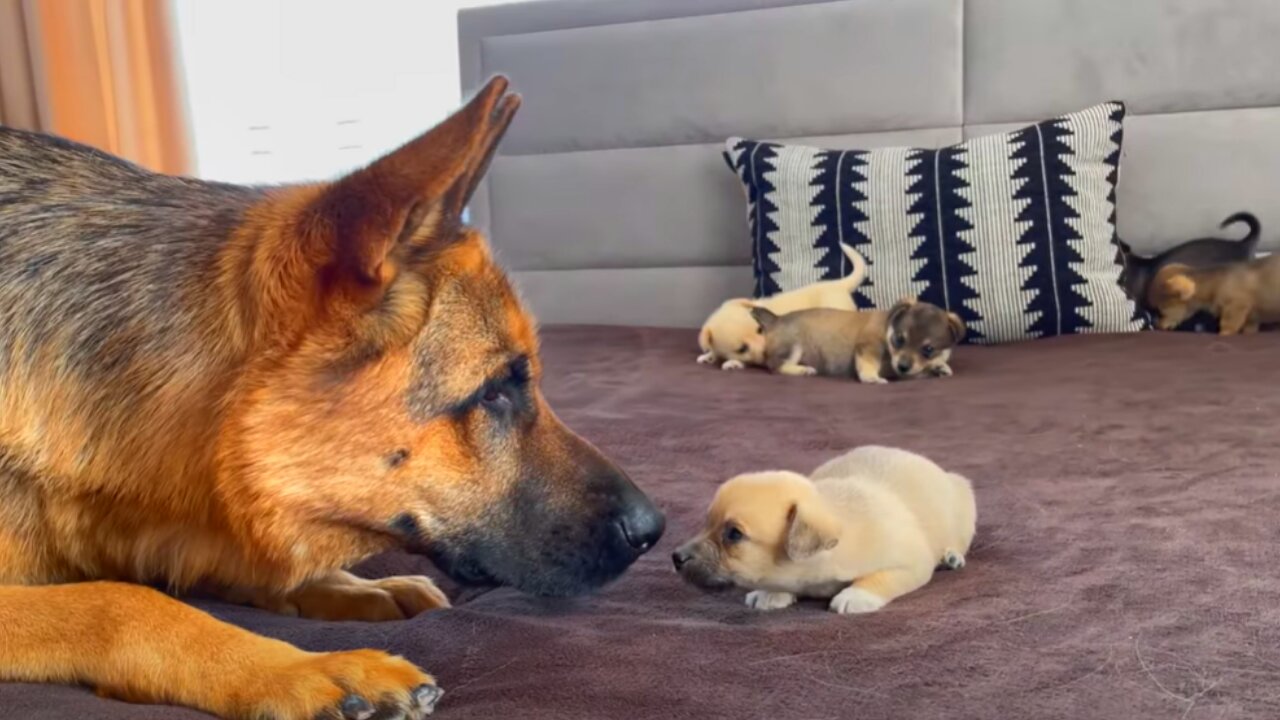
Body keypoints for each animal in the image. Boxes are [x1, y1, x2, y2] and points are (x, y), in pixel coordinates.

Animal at [670, 443, 977, 609]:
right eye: (707, 523)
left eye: (734, 534)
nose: (675, 557)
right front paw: (770, 593)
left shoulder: (911, 563)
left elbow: (880, 578)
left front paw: (855, 596)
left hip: (964, 503)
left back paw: (951, 557)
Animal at [701, 244, 870, 371]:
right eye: (742, 348)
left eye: (760, 330)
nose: (767, 352)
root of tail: (839, 284)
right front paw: (708, 356)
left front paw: (732, 363)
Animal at [747, 294, 962, 381]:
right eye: (899, 339)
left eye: (928, 349)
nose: (902, 367)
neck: (887, 330)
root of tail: (775, 319)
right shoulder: (867, 348)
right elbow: (868, 364)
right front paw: (872, 378)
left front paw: (940, 367)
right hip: (794, 346)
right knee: (777, 366)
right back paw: (803, 370)